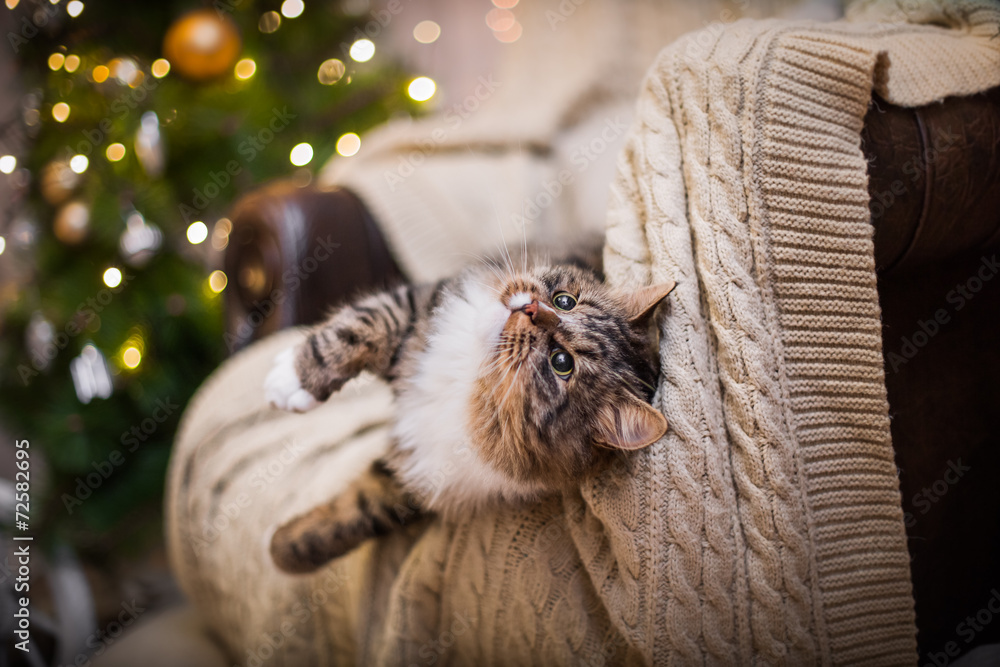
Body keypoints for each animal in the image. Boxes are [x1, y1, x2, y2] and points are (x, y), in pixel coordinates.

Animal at [262, 250, 676, 576]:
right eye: (564, 302)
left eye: (562, 363)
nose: (529, 308)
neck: (470, 380)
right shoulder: (414, 308)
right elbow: (356, 329)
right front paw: (291, 379)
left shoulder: (416, 476)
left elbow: (357, 512)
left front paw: (280, 550)